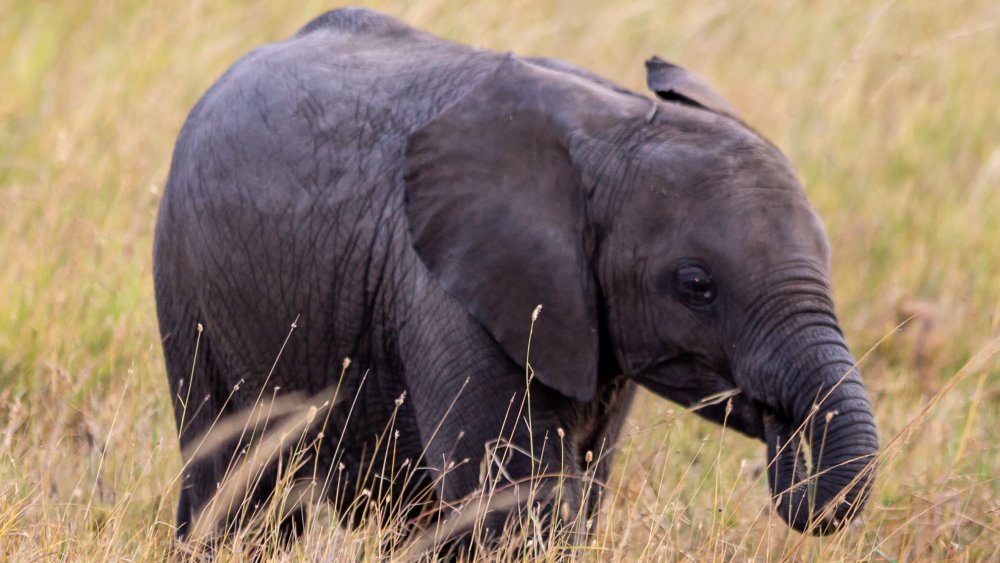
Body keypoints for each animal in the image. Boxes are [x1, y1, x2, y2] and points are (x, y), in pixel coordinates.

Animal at [154, 5, 876, 552]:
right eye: (696, 286)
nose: (785, 437)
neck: (613, 129)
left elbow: (575, 489)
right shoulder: (450, 295)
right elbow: (515, 501)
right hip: (187, 287)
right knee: (235, 484)